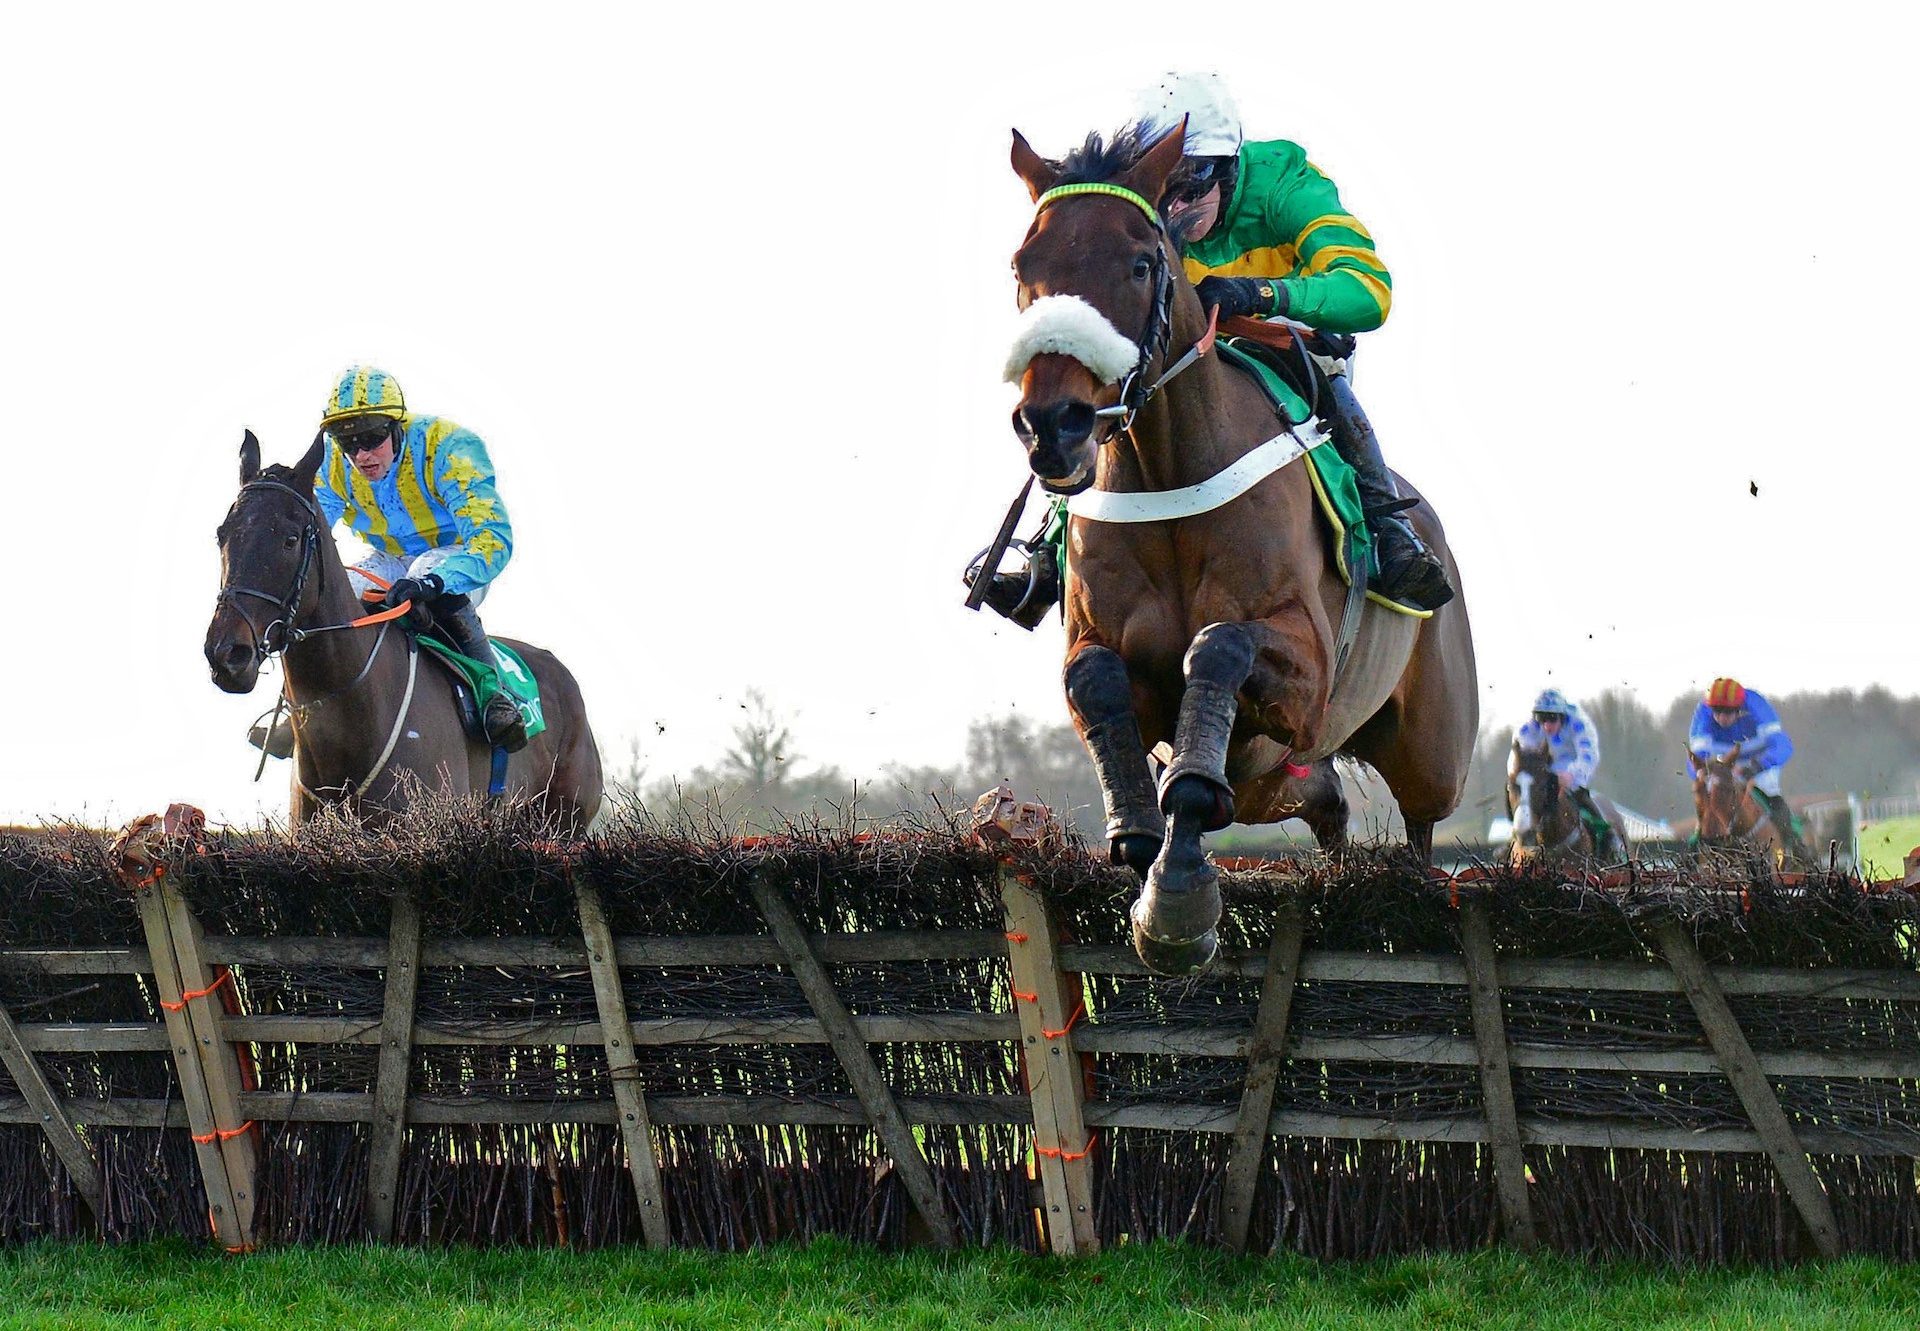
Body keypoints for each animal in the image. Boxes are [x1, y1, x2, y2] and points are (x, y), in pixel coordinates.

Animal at [1013, 126, 1474, 975]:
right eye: (1023, 267)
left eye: (1141, 262)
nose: (1053, 423)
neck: (1169, 470)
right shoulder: (1102, 647)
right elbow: (1097, 679)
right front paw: (1138, 832)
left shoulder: (1307, 668)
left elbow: (1218, 650)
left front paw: (1176, 902)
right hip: (1272, 768)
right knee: (1323, 801)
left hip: (1431, 749)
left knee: (1424, 827)